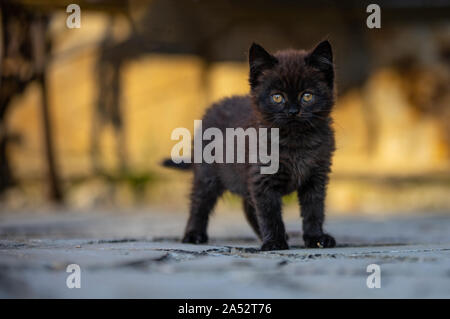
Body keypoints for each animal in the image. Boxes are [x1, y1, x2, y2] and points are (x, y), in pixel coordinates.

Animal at [163, 40, 336, 251]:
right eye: (277, 97)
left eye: (307, 96)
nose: (293, 112)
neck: (295, 141)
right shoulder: (262, 177)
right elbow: (269, 213)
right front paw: (275, 242)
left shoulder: (317, 176)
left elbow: (314, 209)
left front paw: (316, 238)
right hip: (207, 174)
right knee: (199, 202)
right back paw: (193, 234)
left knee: (247, 207)